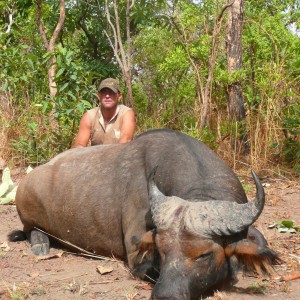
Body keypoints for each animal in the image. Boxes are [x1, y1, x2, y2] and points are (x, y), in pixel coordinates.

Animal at [8, 129, 278, 300]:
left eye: (203, 254)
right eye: (161, 250)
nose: (165, 295)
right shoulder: (137, 256)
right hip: (28, 213)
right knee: (31, 230)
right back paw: (41, 244)